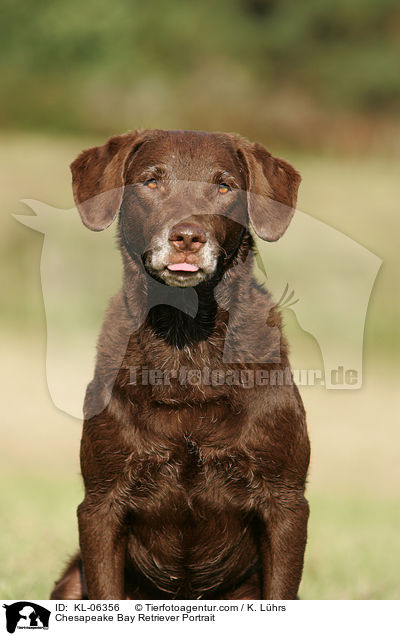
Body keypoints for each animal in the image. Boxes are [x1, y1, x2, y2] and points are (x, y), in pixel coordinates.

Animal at [50, 130, 310, 600]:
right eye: (151, 182)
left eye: (224, 187)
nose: (187, 238)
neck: (185, 341)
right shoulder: (100, 506)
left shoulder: (286, 504)